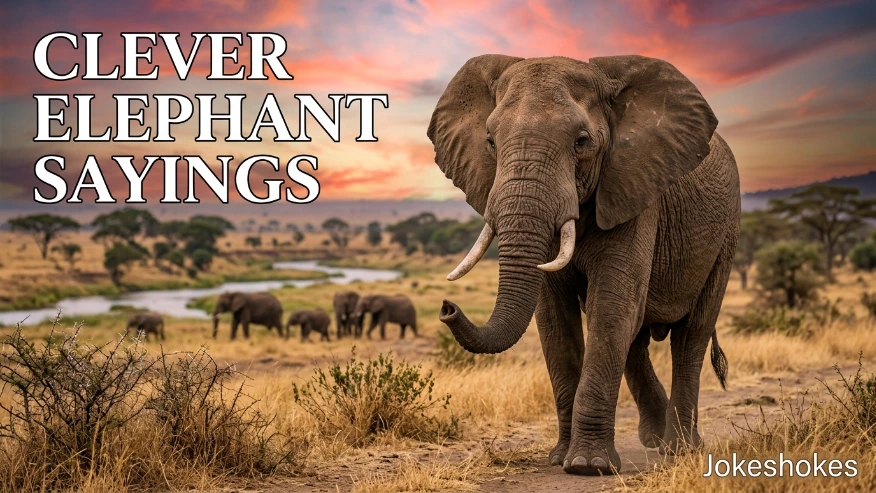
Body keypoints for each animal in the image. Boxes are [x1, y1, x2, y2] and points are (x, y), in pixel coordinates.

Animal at [428, 54, 739, 476]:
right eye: (490, 141)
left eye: (581, 142)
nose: (447, 307)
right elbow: (555, 320)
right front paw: (560, 458)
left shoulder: (633, 190)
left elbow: (611, 305)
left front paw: (589, 466)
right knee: (636, 339)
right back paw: (655, 439)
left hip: (726, 234)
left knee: (692, 334)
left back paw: (679, 448)